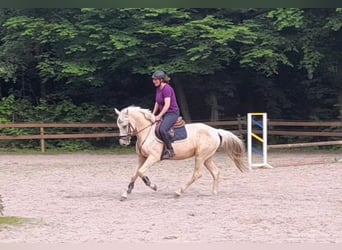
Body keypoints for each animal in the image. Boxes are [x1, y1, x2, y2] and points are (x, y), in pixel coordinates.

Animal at [115, 105, 248, 201]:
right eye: (118, 125)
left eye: (125, 125)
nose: (123, 143)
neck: (147, 132)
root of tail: (215, 130)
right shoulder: (142, 158)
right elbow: (135, 173)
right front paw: (126, 193)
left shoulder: (153, 157)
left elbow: (141, 172)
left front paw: (152, 185)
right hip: (207, 158)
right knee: (215, 172)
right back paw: (214, 192)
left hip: (200, 156)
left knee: (197, 174)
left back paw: (178, 192)